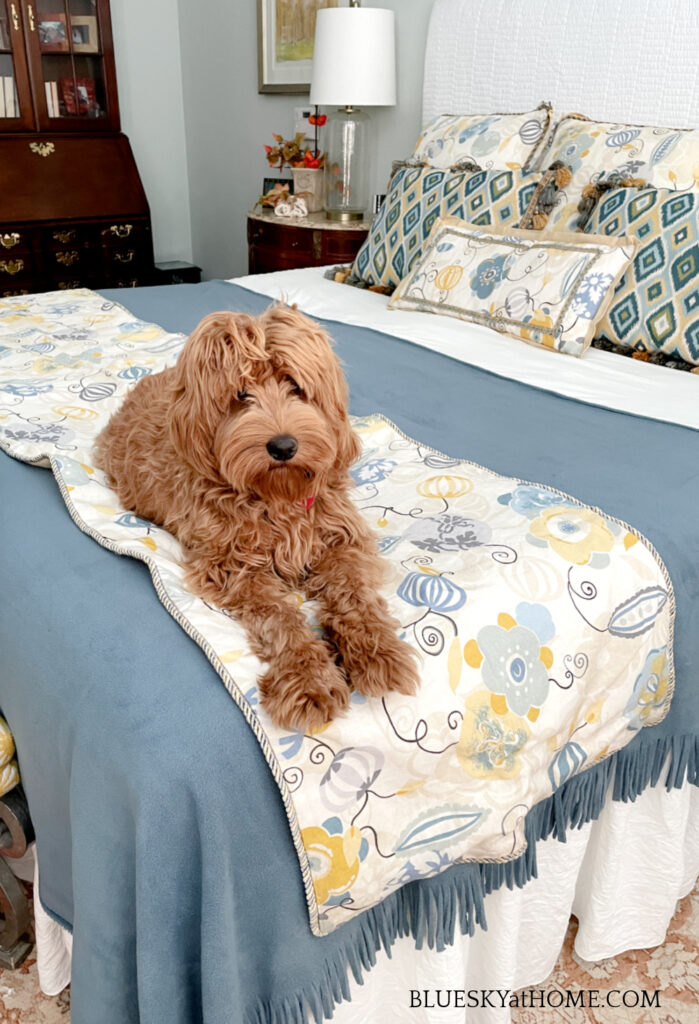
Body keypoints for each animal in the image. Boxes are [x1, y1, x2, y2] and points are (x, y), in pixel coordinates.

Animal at [95, 303, 417, 729]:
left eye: (295, 386)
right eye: (241, 394)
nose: (283, 446)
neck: (278, 495)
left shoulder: (339, 539)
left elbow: (354, 594)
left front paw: (379, 652)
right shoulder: (232, 566)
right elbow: (279, 616)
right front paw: (308, 678)